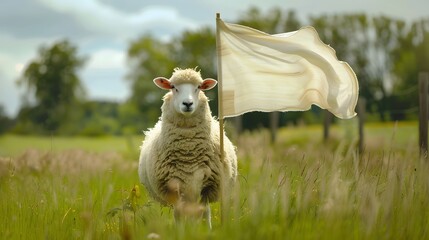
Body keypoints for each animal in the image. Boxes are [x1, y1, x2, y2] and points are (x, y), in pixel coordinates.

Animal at [138, 67, 236, 227]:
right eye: (173, 87)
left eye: (198, 87)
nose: (188, 103)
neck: (188, 147)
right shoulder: (173, 186)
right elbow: (178, 214)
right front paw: (181, 230)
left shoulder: (207, 186)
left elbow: (203, 213)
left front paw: (203, 230)